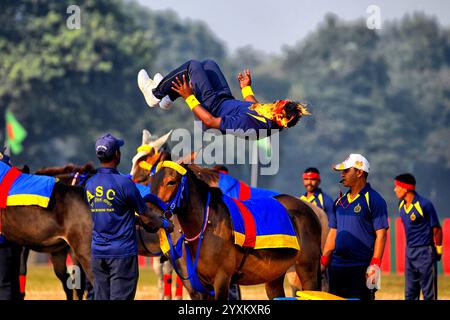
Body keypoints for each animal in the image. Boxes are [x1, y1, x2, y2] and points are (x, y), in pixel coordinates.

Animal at [149, 162, 326, 300]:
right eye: (151, 182)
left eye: (171, 182)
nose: (151, 214)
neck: (208, 226)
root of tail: (309, 210)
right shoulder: (203, 285)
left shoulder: (222, 279)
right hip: (276, 273)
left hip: (307, 269)